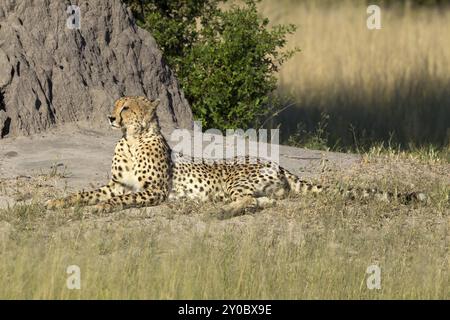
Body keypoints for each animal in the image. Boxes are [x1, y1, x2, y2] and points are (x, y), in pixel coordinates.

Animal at [45, 95, 426, 215]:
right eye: (115, 105)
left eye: (125, 108)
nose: (110, 118)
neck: (131, 139)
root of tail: (277, 163)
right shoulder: (116, 184)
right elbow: (85, 192)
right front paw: (58, 201)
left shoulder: (151, 191)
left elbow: (118, 201)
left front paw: (99, 208)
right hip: (264, 190)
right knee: (266, 202)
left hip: (237, 181)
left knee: (245, 200)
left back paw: (222, 209)